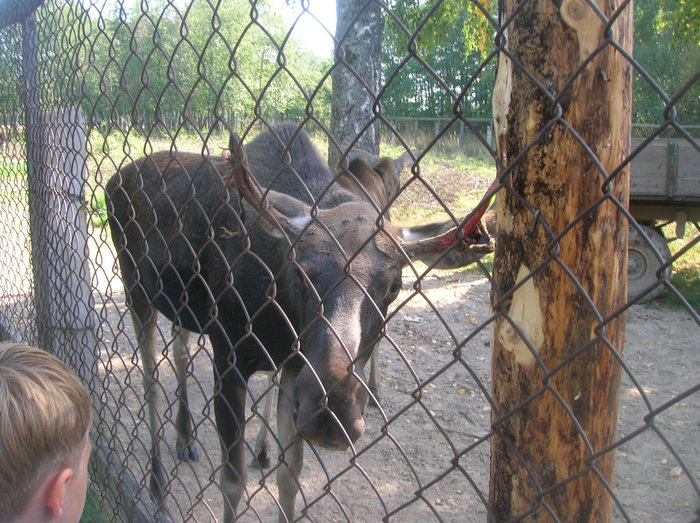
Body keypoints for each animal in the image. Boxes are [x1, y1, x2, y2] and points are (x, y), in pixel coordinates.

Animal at [106, 124, 494, 523]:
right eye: (299, 273)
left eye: (394, 287)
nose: (332, 410)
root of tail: (114, 178)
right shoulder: (228, 357)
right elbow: (233, 481)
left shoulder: (292, 368)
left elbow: (289, 477)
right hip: (136, 288)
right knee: (151, 380)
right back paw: (157, 488)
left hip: (180, 303)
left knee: (180, 353)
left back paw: (185, 439)